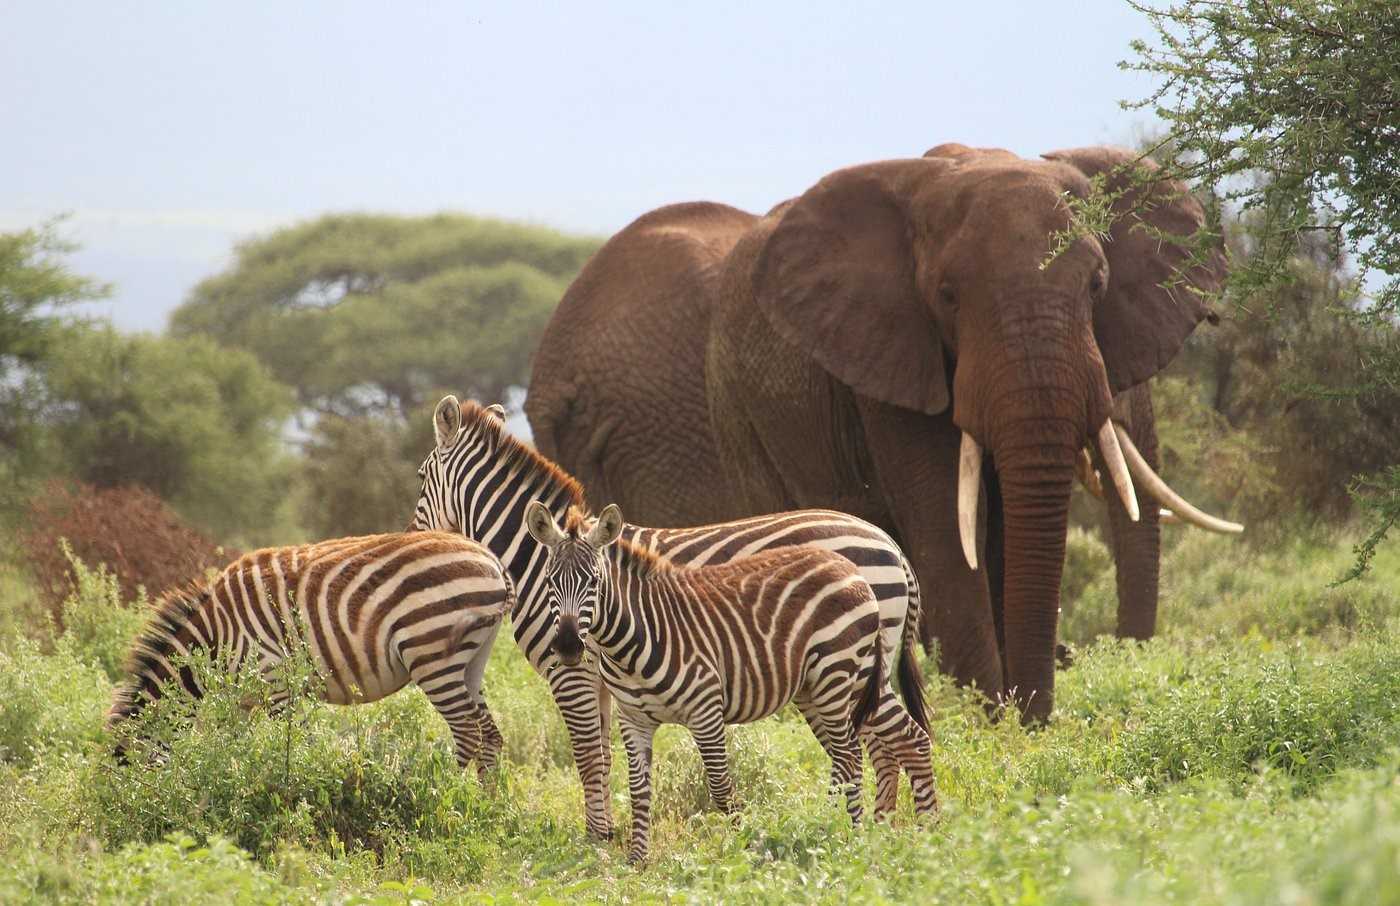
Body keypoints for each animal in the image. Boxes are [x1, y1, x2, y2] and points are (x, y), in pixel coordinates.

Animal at [527, 144, 1237, 721]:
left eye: (1097, 285)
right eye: (947, 296)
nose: (1043, 707)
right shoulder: (888, 356)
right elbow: (946, 525)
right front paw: (989, 714)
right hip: (699, 415)